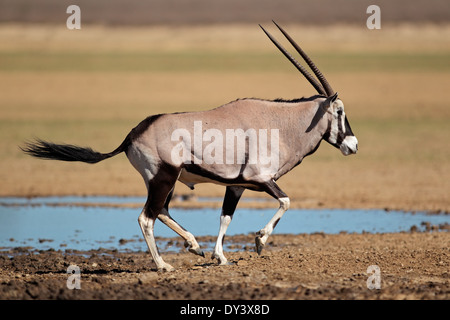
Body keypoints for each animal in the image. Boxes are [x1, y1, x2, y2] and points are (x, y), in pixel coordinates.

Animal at [22, 22, 358, 272]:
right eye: (340, 111)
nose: (353, 145)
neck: (281, 123)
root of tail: (132, 134)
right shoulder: (263, 180)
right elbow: (286, 201)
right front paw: (260, 241)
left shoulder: (237, 185)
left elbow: (225, 217)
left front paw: (220, 256)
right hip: (163, 177)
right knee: (147, 216)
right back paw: (163, 265)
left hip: (166, 181)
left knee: (162, 211)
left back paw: (194, 246)